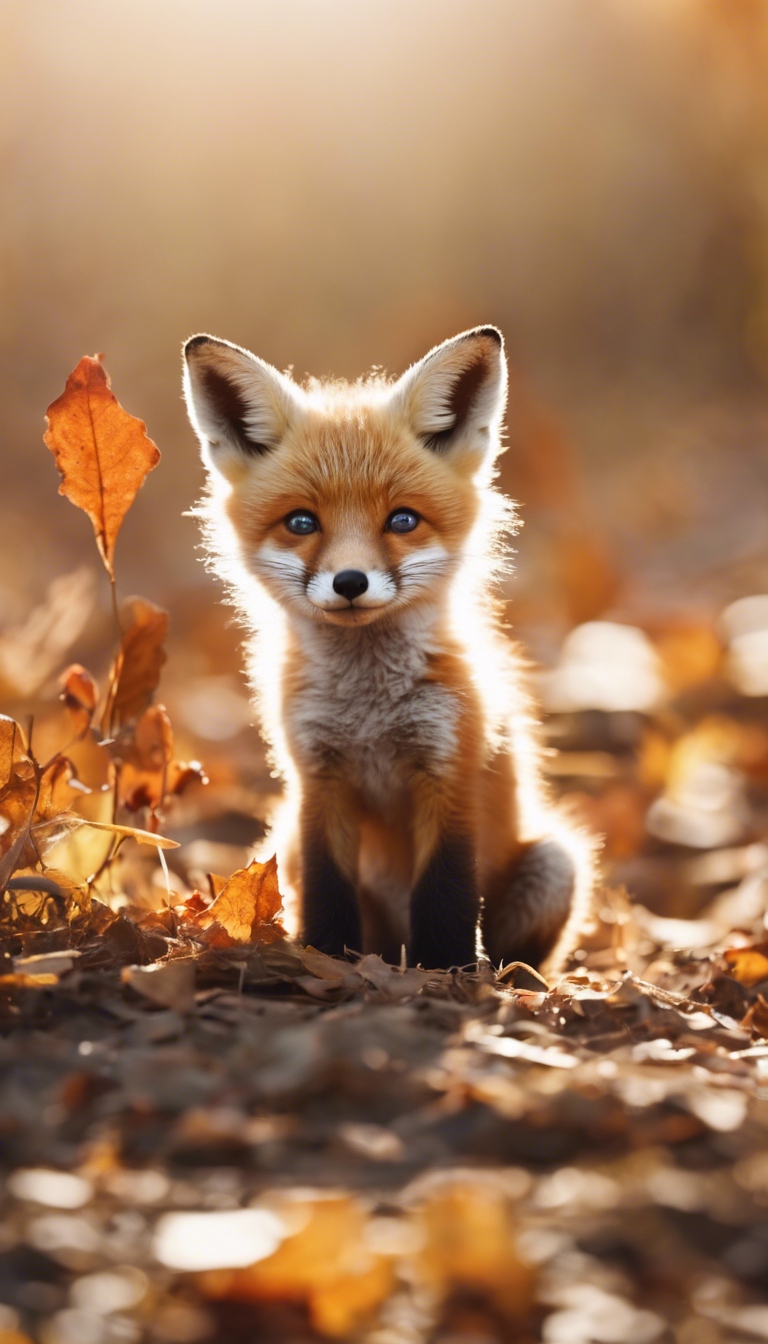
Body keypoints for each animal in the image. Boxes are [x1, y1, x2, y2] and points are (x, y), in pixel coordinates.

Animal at [182, 326, 595, 974]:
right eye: (301, 523)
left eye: (402, 520)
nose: (350, 582)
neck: (369, 711)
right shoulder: (316, 779)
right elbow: (327, 891)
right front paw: (326, 958)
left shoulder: (449, 772)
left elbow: (446, 893)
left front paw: (445, 971)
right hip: (286, 840)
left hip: (556, 864)